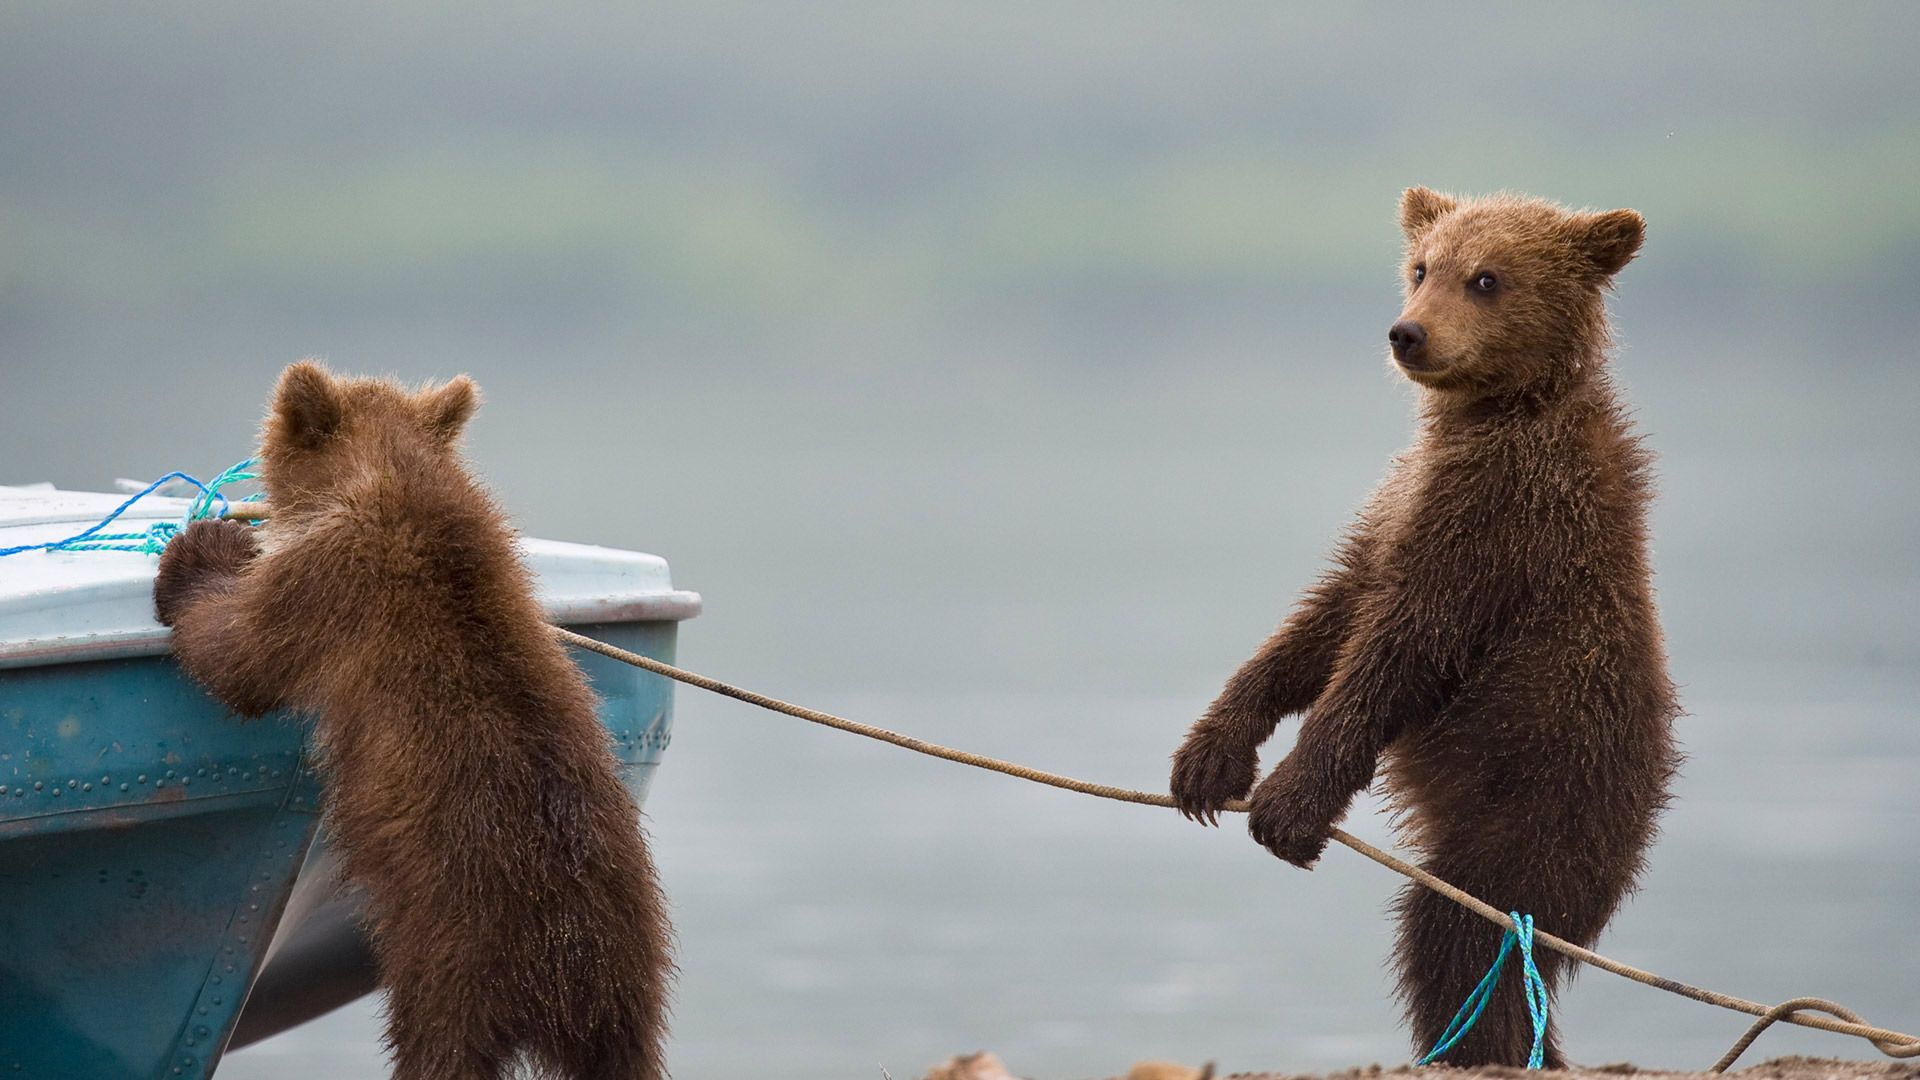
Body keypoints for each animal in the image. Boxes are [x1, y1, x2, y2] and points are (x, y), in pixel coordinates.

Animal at [154, 363, 673, 1080]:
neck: (392, 479)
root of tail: (567, 965)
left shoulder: (329, 580)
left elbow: (241, 655)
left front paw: (200, 553)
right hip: (627, 983)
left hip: (452, 952)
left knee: (437, 1046)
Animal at [1169, 188, 1681, 1069]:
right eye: (1420, 266)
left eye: (1487, 277)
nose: (1407, 333)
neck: (1497, 409)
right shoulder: (1402, 503)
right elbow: (1326, 618)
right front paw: (1210, 756)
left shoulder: (1500, 519)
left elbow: (1397, 651)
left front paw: (1288, 804)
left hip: (1541, 799)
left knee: (1461, 934)